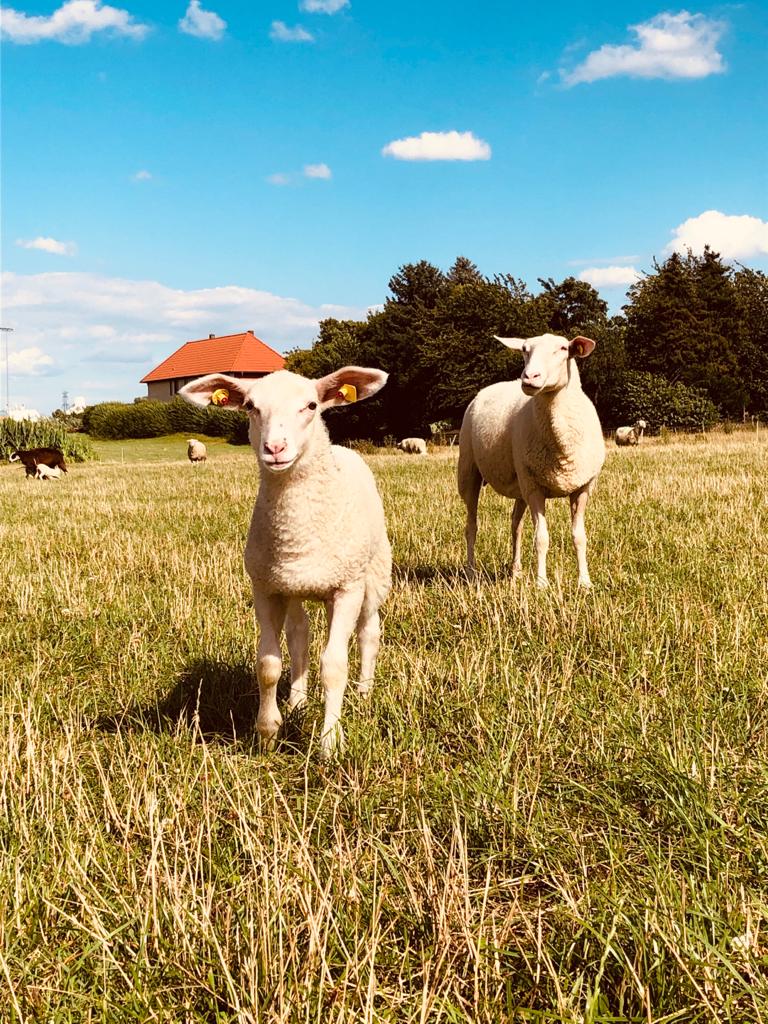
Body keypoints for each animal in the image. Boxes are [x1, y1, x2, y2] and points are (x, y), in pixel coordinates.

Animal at [181, 364, 393, 757]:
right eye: (250, 406)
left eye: (310, 405)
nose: (275, 448)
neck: (298, 533)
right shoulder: (266, 588)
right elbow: (268, 663)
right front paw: (267, 732)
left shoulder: (347, 589)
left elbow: (334, 666)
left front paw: (330, 742)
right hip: (295, 586)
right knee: (299, 636)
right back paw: (297, 703)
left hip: (372, 575)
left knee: (369, 632)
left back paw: (363, 693)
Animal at [456, 331, 606, 589]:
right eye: (525, 350)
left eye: (563, 348)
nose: (529, 377)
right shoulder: (535, 488)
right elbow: (541, 539)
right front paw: (542, 583)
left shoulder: (582, 487)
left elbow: (579, 537)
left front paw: (585, 582)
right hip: (470, 470)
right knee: (471, 526)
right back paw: (471, 572)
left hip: (520, 483)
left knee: (515, 525)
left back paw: (515, 571)